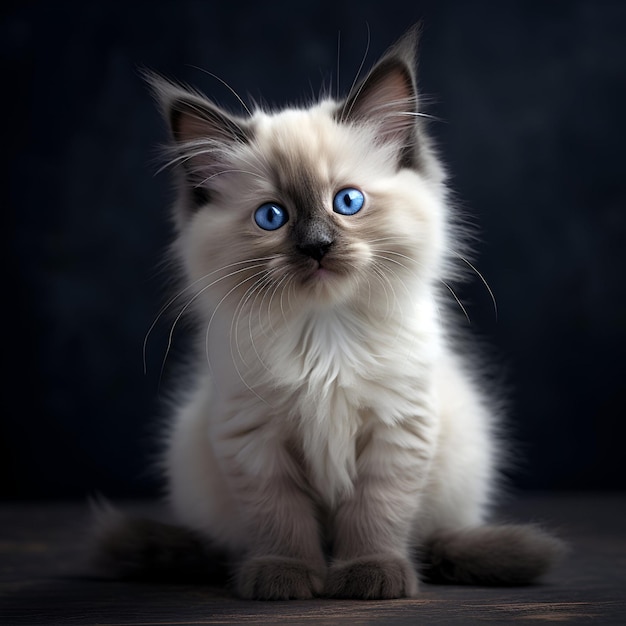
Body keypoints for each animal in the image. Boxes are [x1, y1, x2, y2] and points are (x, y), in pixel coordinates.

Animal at [95, 26, 564, 596]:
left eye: (347, 203)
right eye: (272, 216)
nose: (317, 247)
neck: (326, 334)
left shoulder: (397, 431)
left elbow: (375, 515)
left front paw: (369, 573)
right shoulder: (255, 441)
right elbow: (283, 520)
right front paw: (286, 576)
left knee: (435, 539)